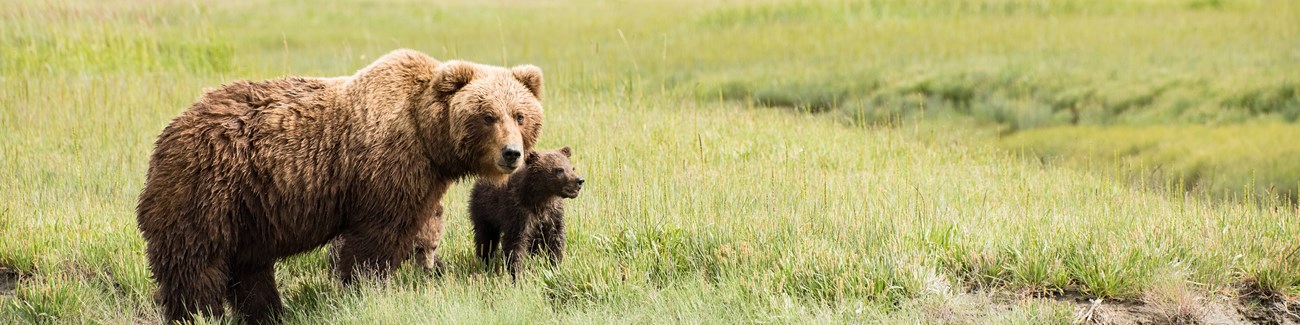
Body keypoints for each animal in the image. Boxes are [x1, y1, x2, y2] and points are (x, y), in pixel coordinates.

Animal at [131, 49, 538, 323]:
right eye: (488, 116)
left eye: (520, 115)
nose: (512, 153)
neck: (428, 139)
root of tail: (169, 131)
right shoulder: (385, 170)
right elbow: (373, 242)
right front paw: (365, 289)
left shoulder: (418, 181)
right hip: (207, 189)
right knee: (196, 263)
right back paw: (198, 314)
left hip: (248, 208)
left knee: (250, 267)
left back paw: (269, 312)